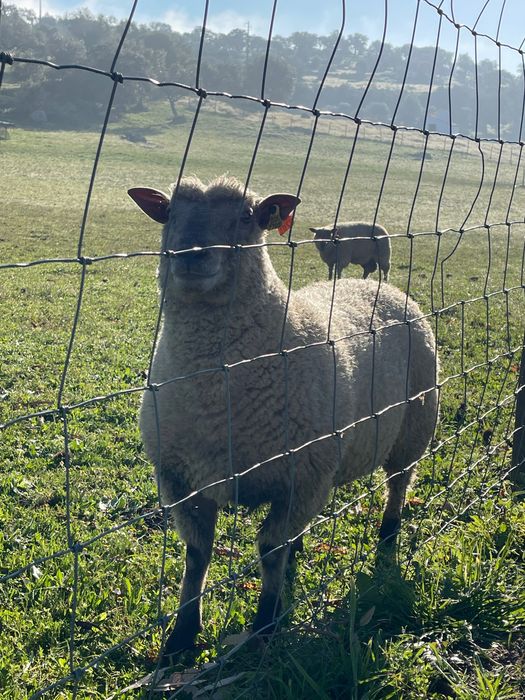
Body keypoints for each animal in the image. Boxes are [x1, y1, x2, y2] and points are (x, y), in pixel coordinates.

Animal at [128, 175, 438, 661]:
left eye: (246, 217)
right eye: (169, 214)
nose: (192, 255)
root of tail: (380, 287)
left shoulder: (302, 474)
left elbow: (269, 550)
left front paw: (265, 627)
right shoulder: (181, 480)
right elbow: (197, 555)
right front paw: (181, 638)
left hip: (414, 427)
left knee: (399, 483)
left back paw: (388, 538)